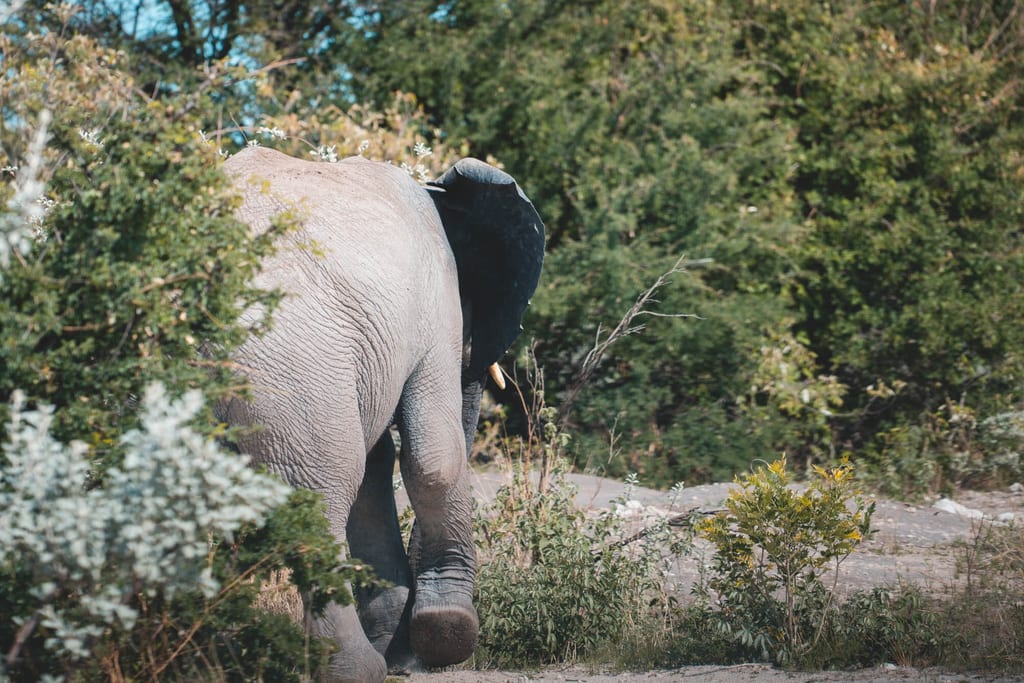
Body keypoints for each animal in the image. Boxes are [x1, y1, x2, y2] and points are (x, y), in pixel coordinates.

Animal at [217, 146, 544, 682]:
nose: (410, 658)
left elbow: (378, 467)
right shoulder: (435, 305)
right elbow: (434, 456)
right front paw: (445, 634)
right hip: (290, 365)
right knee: (321, 493)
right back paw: (358, 667)